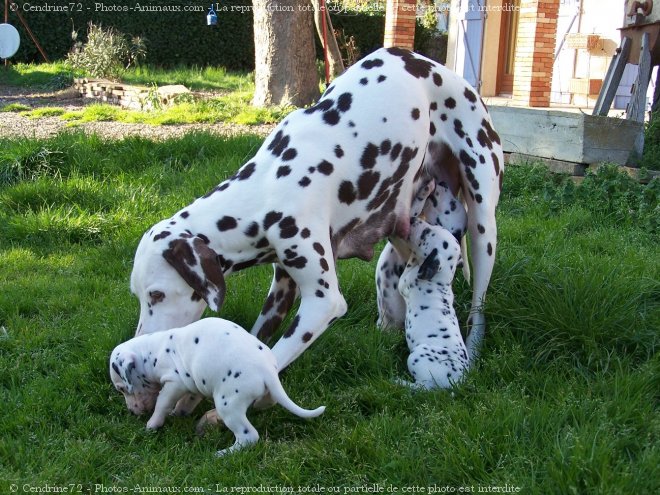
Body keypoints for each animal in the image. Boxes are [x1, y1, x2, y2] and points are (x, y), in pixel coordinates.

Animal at [111, 320, 328, 456]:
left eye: (122, 389)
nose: (132, 411)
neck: (153, 350)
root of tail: (266, 370)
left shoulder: (174, 382)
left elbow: (162, 403)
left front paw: (153, 424)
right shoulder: (194, 381)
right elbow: (188, 399)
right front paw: (180, 412)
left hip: (229, 405)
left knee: (249, 437)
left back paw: (221, 454)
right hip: (261, 394)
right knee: (268, 402)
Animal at [394, 219, 466, 390]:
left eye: (426, 233)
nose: (413, 220)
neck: (441, 278)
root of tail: (456, 381)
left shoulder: (405, 281)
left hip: (416, 356)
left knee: (423, 387)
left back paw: (399, 382)